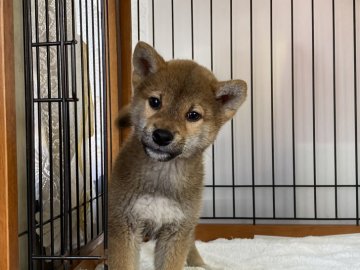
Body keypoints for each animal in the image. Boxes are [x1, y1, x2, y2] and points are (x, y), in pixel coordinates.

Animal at [107, 41, 248, 268]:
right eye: (155, 102)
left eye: (193, 115)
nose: (162, 135)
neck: (162, 175)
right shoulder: (124, 224)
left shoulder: (176, 231)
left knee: (191, 242)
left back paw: (199, 264)